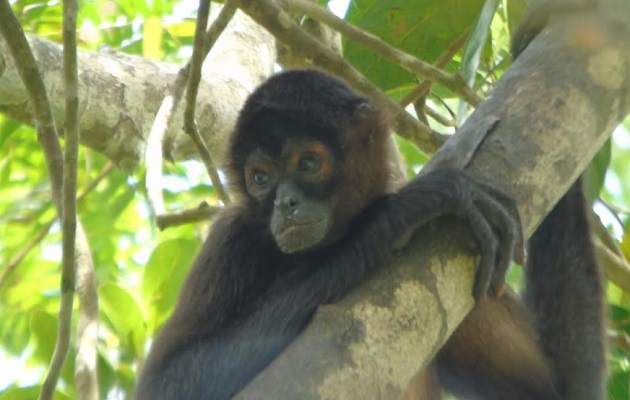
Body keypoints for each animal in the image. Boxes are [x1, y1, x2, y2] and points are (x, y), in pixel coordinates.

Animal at [135, 1, 608, 398]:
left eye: (308, 163)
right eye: (261, 178)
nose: (285, 204)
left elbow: (566, 390)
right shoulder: (232, 239)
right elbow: (168, 383)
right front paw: (398, 214)